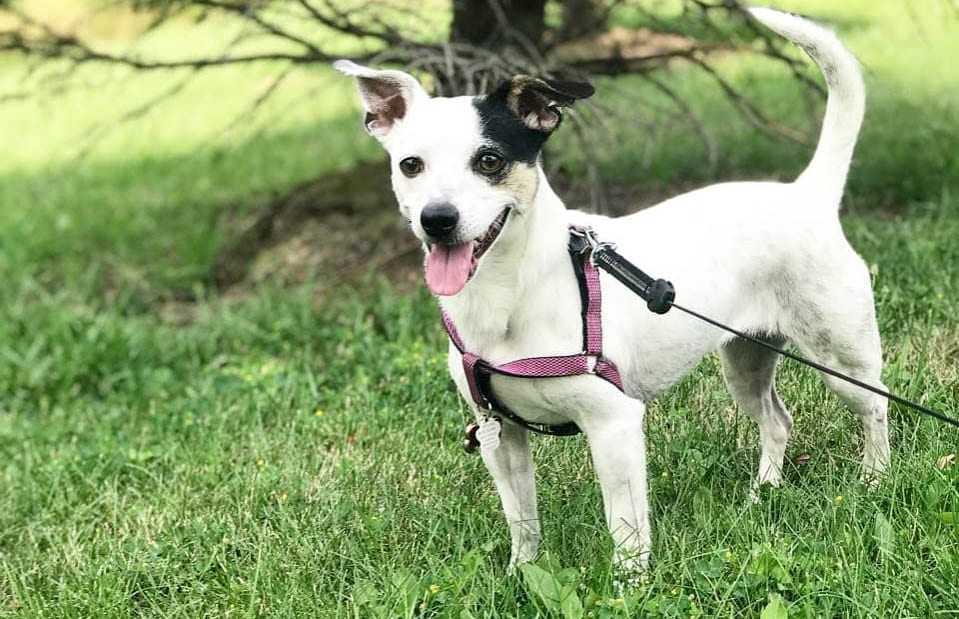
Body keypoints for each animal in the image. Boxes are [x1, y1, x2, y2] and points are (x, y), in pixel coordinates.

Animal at [338, 7, 892, 580]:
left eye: (489, 161)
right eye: (411, 165)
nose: (437, 219)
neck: (510, 297)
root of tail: (808, 195)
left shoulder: (614, 424)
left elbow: (625, 526)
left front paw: (631, 584)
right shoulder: (500, 436)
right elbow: (522, 521)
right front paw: (521, 574)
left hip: (841, 360)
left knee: (877, 408)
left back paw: (873, 482)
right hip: (744, 364)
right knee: (778, 420)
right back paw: (764, 490)